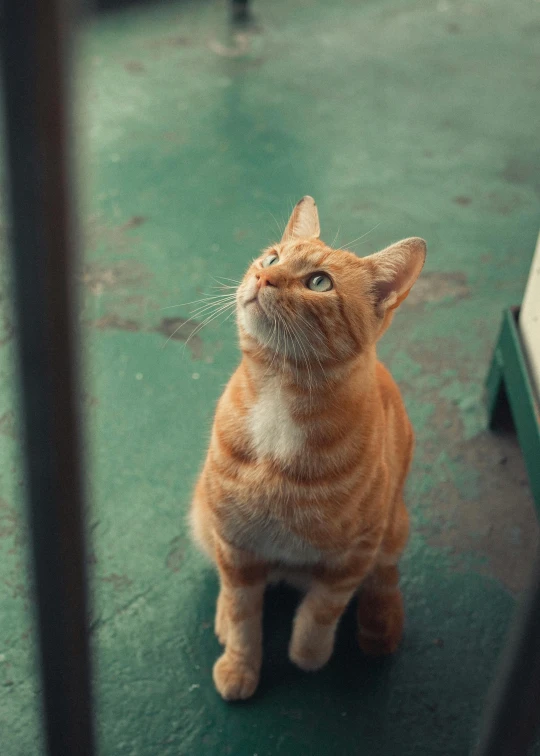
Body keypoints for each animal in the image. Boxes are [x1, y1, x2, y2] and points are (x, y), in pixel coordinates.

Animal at [190, 196, 426, 704]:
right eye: (271, 259)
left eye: (319, 282)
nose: (263, 278)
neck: (280, 395)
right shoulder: (235, 541)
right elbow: (242, 614)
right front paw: (240, 664)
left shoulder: (355, 552)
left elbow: (321, 611)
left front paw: (309, 655)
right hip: (203, 516)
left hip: (394, 526)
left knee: (386, 578)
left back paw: (381, 627)